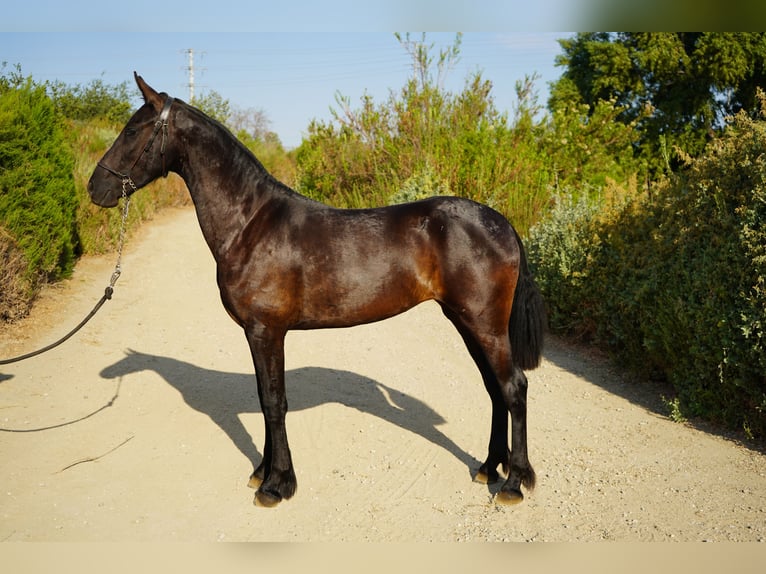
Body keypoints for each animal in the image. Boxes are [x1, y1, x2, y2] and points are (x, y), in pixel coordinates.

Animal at [88, 73, 545, 508]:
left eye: (133, 130)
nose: (96, 188)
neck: (250, 223)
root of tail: (500, 222)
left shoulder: (265, 330)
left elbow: (274, 402)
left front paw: (277, 485)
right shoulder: (259, 334)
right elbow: (264, 398)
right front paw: (263, 471)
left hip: (483, 324)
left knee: (513, 387)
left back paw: (515, 483)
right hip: (466, 322)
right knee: (494, 389)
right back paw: (489, 468)